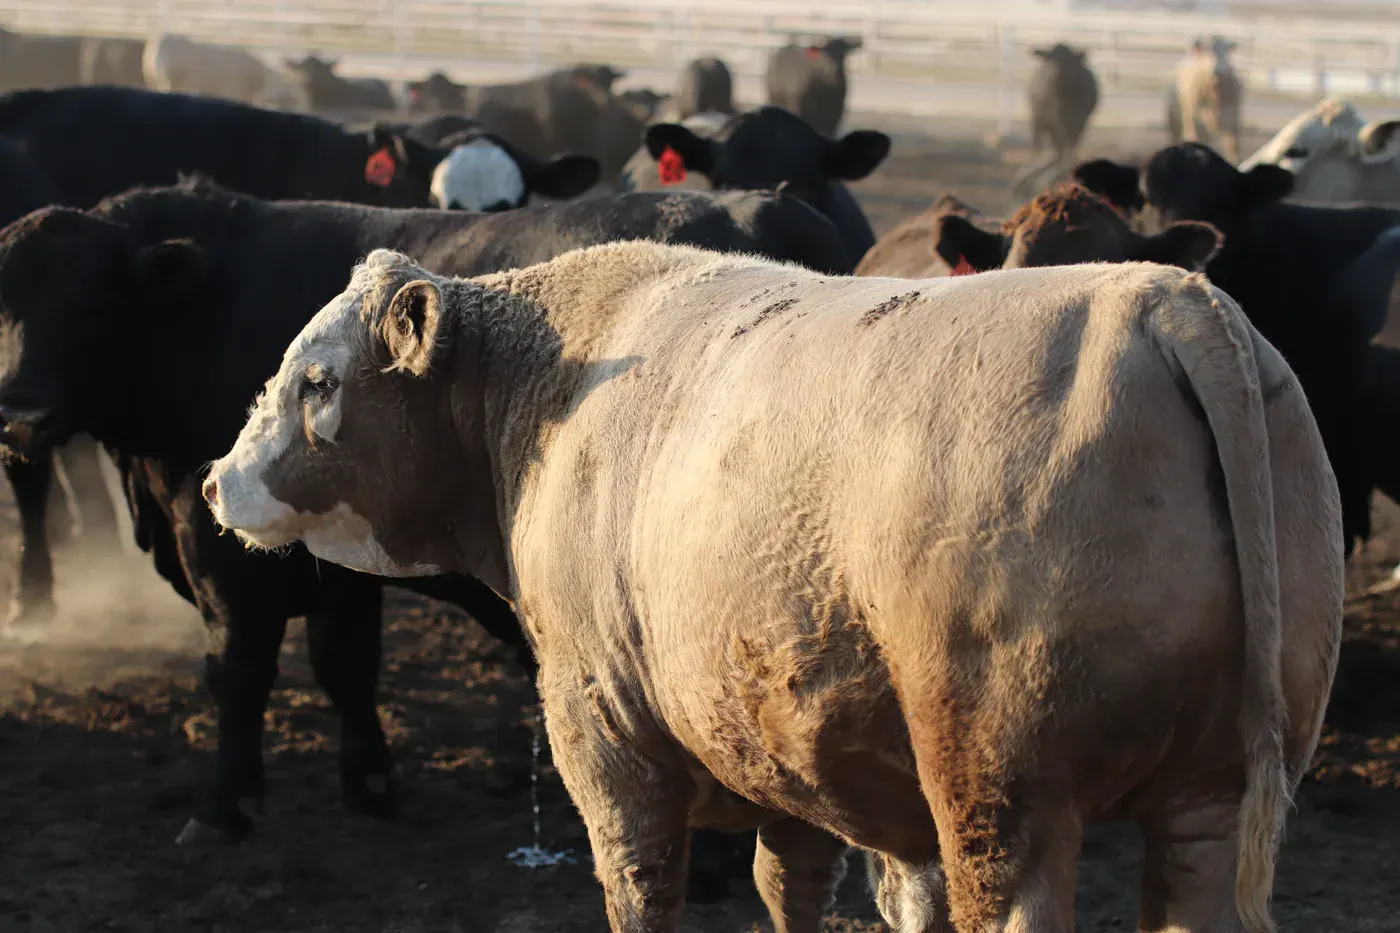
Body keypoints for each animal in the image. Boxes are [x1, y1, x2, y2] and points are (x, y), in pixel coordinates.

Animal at [0, 181, 850, 870]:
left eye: (92, 306)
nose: (19, 416)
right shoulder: (332, 558)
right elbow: (344, 665)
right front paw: (370, 782)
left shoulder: (229, 562)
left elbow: (238, 673)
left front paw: (222, 808)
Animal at [203, 241, 1341, 933]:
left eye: (318, 381)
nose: (216, 479)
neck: (552, 396)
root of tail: (1165, 297)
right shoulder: (791, 738)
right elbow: (792, 881)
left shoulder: (599, 728)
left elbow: (640, 882)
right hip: (1214, 792)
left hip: (999, 789)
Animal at [1010, 43, 1100, 200]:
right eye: (1049, 58)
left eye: (1067, 60)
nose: (1055, 72)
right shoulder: (1050, 121)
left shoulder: (1076, 122)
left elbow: (1068, 153)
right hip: (1042, 122)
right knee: (1046, 150)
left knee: (1061, 153)